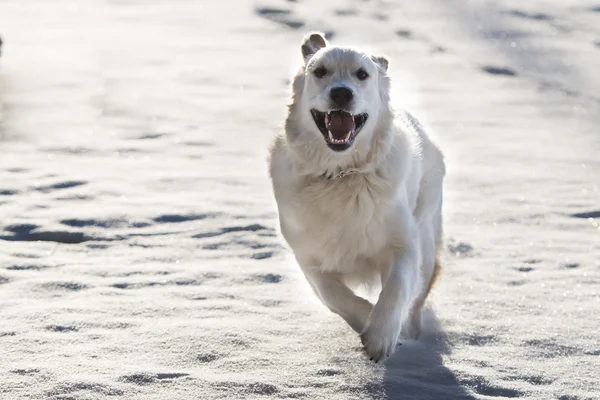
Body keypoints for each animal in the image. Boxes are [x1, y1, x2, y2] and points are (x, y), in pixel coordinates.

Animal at [268, 32, 446, 362]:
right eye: (320, 71)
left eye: (362, 74)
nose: (341, 93)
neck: (341, 176)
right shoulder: (308, 257)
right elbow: (333, 296)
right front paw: (366, 319)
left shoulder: (404, 243)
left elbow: (397, 287)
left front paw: (381, 336)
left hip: (427, 237)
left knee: (417, 298)